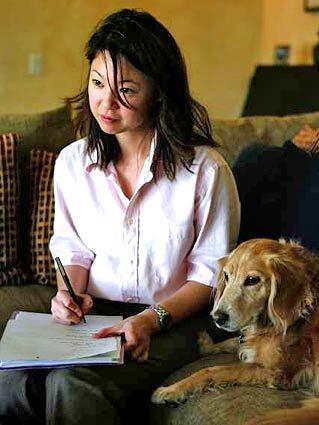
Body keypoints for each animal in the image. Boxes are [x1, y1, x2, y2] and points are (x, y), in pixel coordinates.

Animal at [151, 238, 319, 424]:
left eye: (252, 280)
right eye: (226, 276)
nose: (217, 317)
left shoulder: (277, 372)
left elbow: (214, 370)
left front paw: (172, 390)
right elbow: (231, 342)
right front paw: (206, 345)